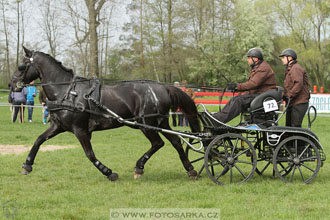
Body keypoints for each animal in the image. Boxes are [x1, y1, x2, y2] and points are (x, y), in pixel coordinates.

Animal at [10, 46, 200, 180]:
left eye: (21, 65)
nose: (11, 84)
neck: (66, 91)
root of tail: (163, 87)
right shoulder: (59, 126)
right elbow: (39, 140)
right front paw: (27, 165)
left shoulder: (80, 130)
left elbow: (89, 154)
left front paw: (109, 172)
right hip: (160, 122)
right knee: (176, 142)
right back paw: (190, 170)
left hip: (146, 124)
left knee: (158, 143)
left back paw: (139, 167)